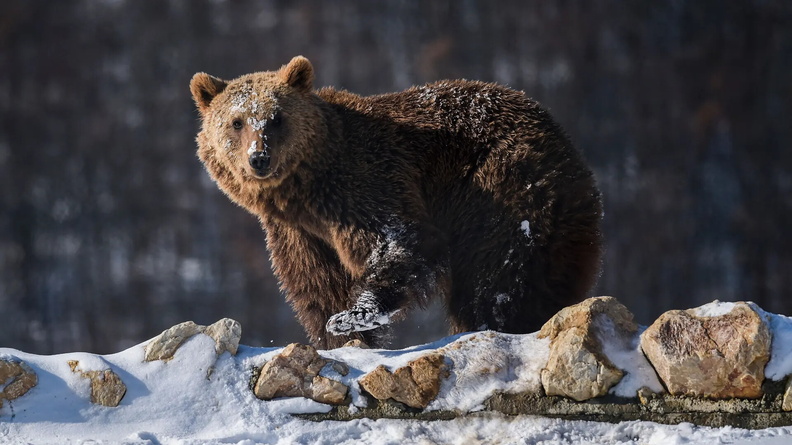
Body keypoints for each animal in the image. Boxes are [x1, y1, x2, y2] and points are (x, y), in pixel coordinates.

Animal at [190, 56, 603, 349]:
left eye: (276, 117)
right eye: (237, 121)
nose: (259, 158)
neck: (305, 191)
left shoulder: (365, 183)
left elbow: (401, 242)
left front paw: (355, 315)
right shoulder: (299, 233)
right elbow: (317, 285)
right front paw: (339, 336)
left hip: (500, 188)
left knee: (496, 277)